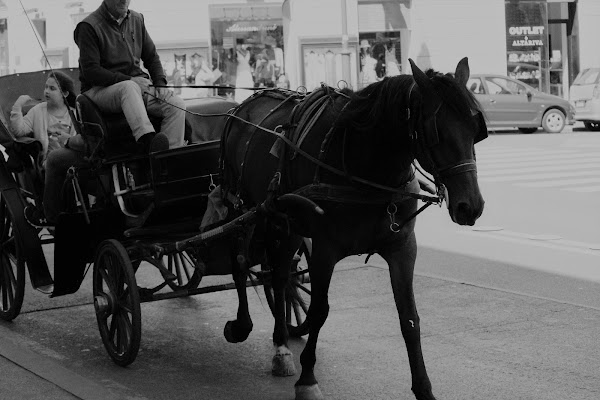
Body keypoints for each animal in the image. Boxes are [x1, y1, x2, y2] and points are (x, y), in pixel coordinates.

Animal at [220, 58, 488, 400]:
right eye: (435, 132)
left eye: (475, 129)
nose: (471, 206)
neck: (367, 168)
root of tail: (243, 105)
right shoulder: (325, 248)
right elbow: (319, 310)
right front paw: (308, 380)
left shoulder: (403, 248)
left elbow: (409, 318)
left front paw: (424, 389)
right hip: (242, 206)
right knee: (239, 261)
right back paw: (242, 324)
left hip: (286, 220)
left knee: (280, 276)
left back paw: (281, 345)